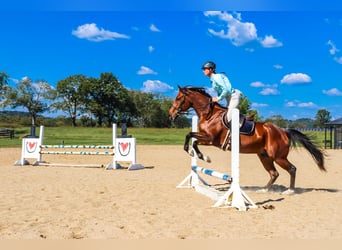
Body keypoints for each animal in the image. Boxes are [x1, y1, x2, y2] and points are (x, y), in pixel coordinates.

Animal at [168, 86, 326, 193]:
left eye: (178, 98)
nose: (171, 114)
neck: (209, 114)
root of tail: (283, 131)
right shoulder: (207, 139)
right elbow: (192, 138)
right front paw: (196, 154)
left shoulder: (210, 139)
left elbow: (190, 136)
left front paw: (203, 157)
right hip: (264, 156)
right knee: (274, 173)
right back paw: (264, 190)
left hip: (278, 156)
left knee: (292, 169)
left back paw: (290, 191)